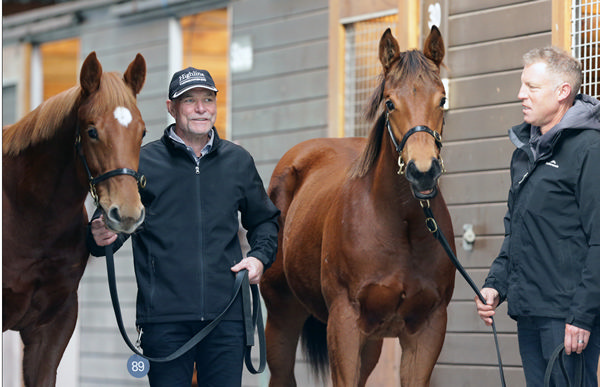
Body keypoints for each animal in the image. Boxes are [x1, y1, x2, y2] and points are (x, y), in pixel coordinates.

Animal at [262, 25, 454, 386]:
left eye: (442, 100)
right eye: (390, 103)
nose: (423, 171)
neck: (402, 227)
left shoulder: (427, 329)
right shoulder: (345, 323)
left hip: (373, 341)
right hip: (281, 316)